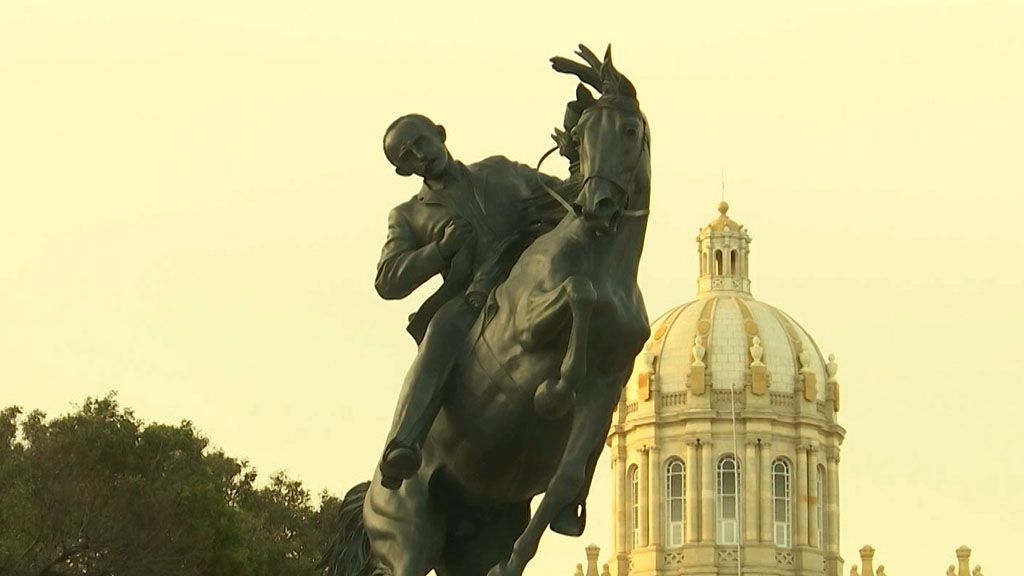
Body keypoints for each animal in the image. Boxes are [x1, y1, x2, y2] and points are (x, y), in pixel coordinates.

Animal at [323, 45, 651, 576]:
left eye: (629, 129)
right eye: (581, 136)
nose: (597, 206)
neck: (603, 260)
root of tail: (370, 495)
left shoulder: (605, 390)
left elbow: (564, 479)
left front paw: (527, 548)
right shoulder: (523, 331)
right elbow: (577, 294)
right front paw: (555, 391)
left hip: (467, 546)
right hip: (408, 535)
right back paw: (400, 456)